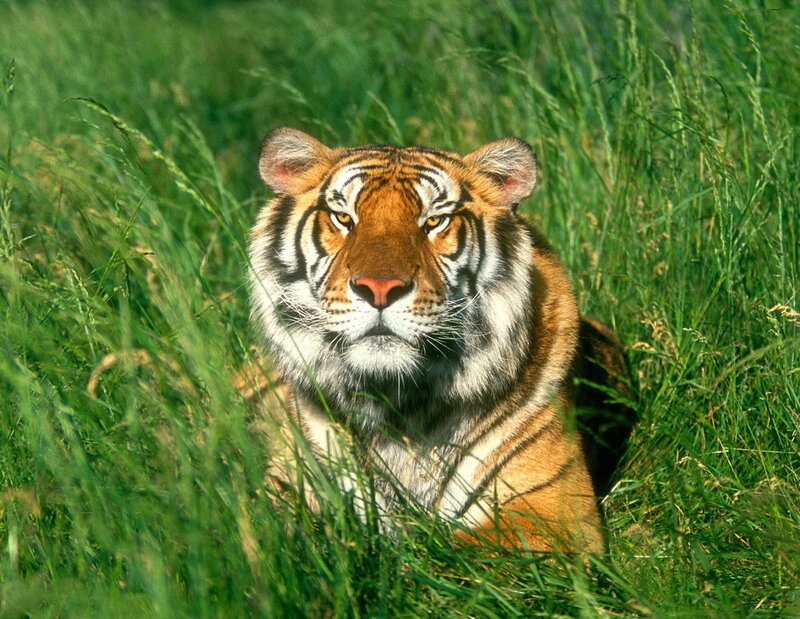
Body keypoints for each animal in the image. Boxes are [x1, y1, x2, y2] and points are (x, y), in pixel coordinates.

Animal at [246, 126, 634, 552]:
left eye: (434, 221)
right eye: (343, 218)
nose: (379, 289)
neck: (396, 404)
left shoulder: (551, 511)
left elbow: (445, 555)